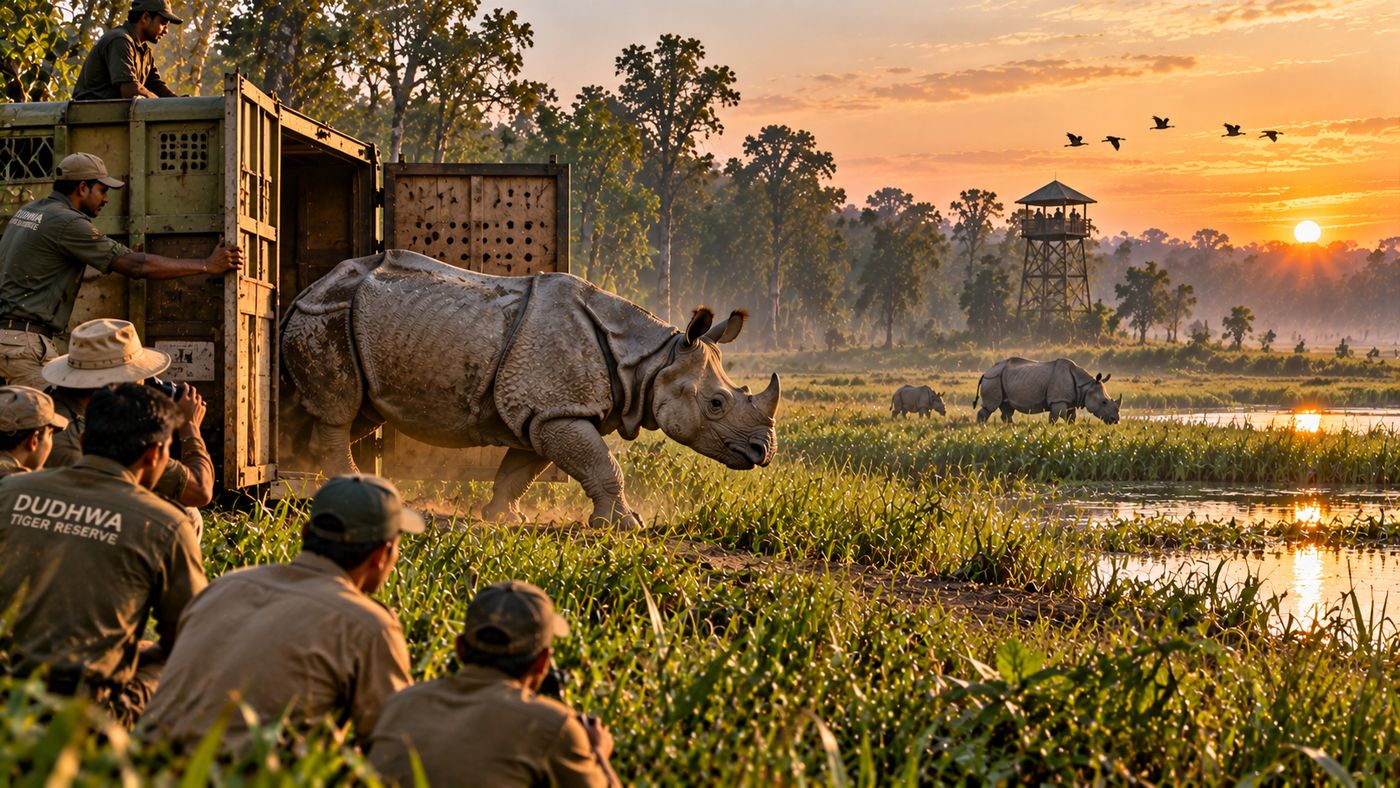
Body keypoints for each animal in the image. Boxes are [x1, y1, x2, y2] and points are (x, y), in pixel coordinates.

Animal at [279, 250, 780, 527]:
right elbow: (603, 465)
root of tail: (310, 286)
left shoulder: (546, 412)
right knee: (341, 409)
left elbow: (520, 470)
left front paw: (503, 517)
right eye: (716, 403)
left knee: (352, 411)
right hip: (329, 314)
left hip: (345, 319)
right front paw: (626, 525)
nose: (763, 452)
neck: (651, 361)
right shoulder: (558, 410)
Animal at [973, 357, 1120, 424]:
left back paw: (1011, 426)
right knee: (991, 406)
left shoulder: (1071, 400)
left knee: (1007, 407)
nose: (1115, 420)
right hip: (993, 378)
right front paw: (1054, 428)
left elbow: (1071, 417)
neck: (1085, 386)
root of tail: (986, 372)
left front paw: (1070, 427)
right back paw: (982, 426)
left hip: (1001, 379)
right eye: (1104, 402)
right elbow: (1057, 416)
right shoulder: (1058, 400)